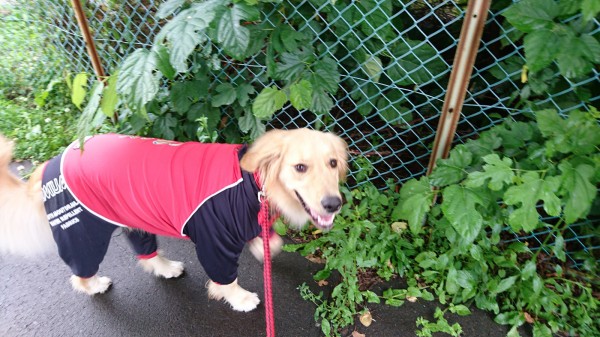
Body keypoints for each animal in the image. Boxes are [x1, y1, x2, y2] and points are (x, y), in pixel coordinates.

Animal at [0, 127, 346, 312]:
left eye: (332, 163)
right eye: (300, 167)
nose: (334, 204)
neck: (252, 183)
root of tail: (53, 160)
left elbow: (269, 242)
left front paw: (264, 248)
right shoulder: (214, 243)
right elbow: (226, 278)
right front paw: (239, 298)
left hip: (132, 215)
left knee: (146, 253)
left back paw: (165, 267)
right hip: (83, 231)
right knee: (80, 271)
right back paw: (94, 284)